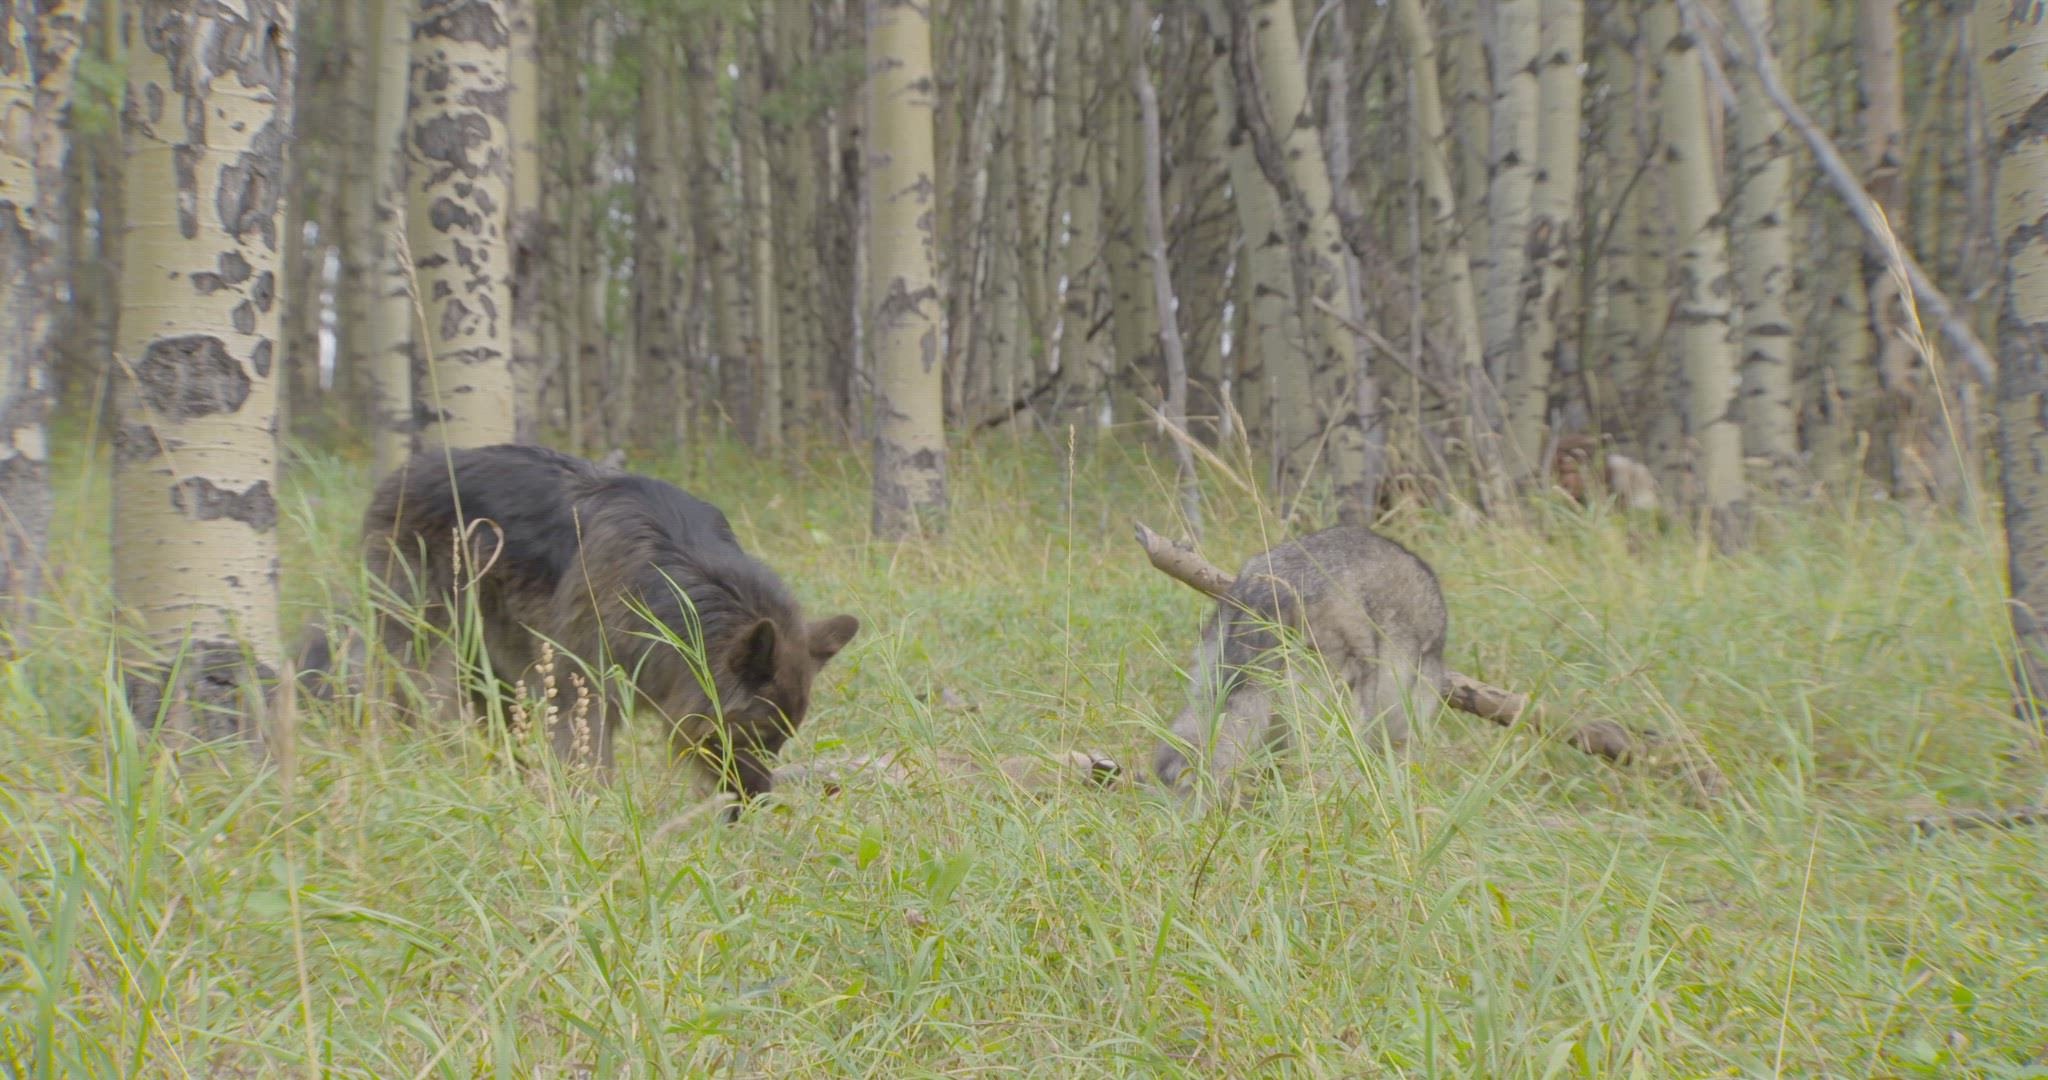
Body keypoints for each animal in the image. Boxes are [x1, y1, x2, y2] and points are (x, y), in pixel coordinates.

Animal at [298, 444, 859, 808]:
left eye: (781, 740)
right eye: (754, 733)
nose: (755, 802)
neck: (676, 586)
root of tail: (405, 471)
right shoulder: (583, 691)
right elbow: (592, 765)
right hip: (428, 640)